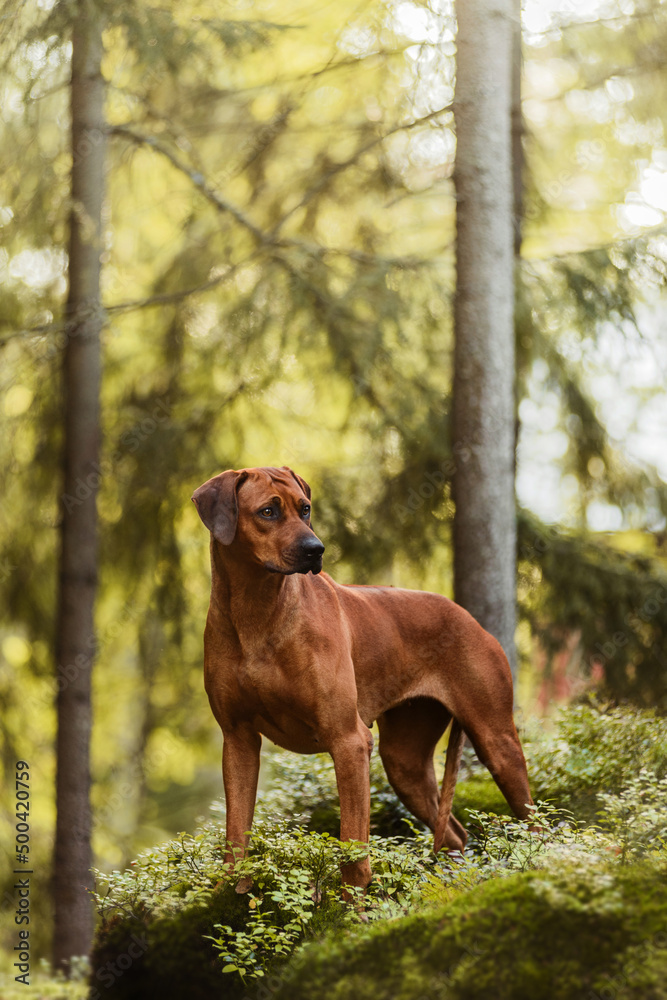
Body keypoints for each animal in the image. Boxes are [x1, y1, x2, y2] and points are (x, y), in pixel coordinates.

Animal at [192, 464, 532, 888]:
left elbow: (353, 847)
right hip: (404, 763)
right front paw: (229, 893)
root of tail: (468, 617)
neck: (256, 609)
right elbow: (236, 837)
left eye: (305, 509)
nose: (315, 549)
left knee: (537, 824)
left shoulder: (349, 740)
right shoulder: (238, 740)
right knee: (455, 833)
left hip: (496, 741)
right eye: (268, 512)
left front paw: (352, 901)